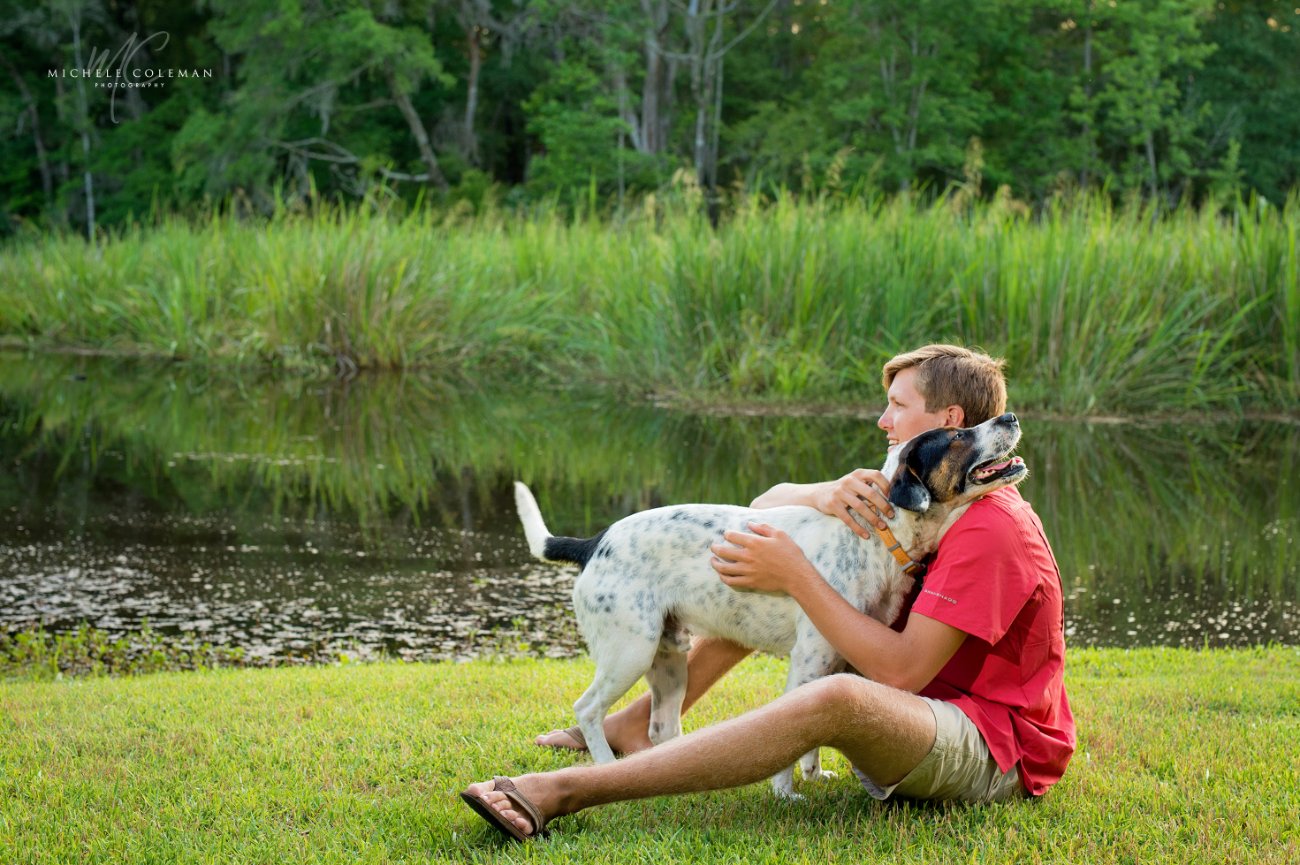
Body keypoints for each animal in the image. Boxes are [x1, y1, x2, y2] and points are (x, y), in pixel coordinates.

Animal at [512, 411, 1029, 796]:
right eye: (958, 435)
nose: (1010, 415)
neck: (879, 534)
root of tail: (594, 542)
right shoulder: (808, 661)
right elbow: (797, 744)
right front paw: (787, 794)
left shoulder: (838, 661)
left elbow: (816, 742)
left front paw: (815, 777)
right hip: (629, 651)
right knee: (587, 709)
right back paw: (602, 764)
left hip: (669, 658)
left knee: (662, 730)